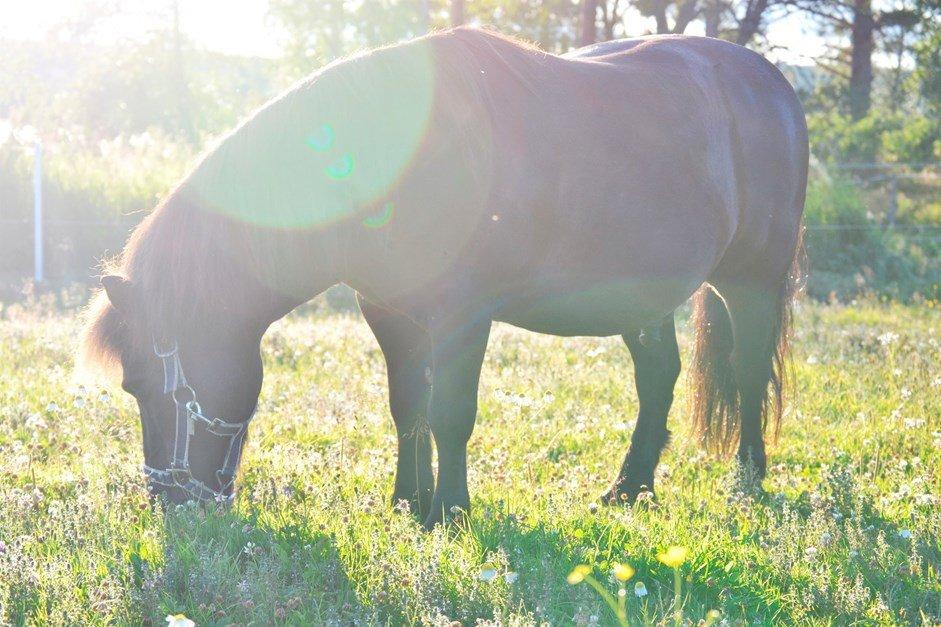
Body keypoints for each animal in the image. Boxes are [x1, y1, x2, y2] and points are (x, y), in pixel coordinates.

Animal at [81, 28, 804, 528]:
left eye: (142, 384)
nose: (171, 503)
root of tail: (771, 82)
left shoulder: (464, 315)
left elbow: (452, 412)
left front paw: (449, 511)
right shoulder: (390, 314)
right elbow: (409, 408)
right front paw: (406, 502)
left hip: (751, 281)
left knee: (747, 374)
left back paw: (746, 481)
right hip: (639, 299)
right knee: (658, 378)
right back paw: (629, 487)